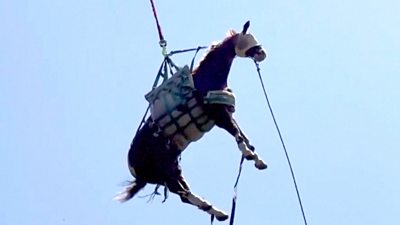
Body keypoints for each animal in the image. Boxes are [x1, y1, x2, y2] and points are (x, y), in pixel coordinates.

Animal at [114, 21, 268, 221]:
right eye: (248, 37)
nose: (262, 53)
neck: (207, 79)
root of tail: (135, 170)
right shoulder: (218, 115)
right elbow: (236, 134)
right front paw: (250, 155)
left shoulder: (226, 112)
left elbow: (241, 133)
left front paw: (256, 157)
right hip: (166, 173)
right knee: (183, 195)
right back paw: (216, 211)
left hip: (171, 168)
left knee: (184, 194)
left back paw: (217, 212)